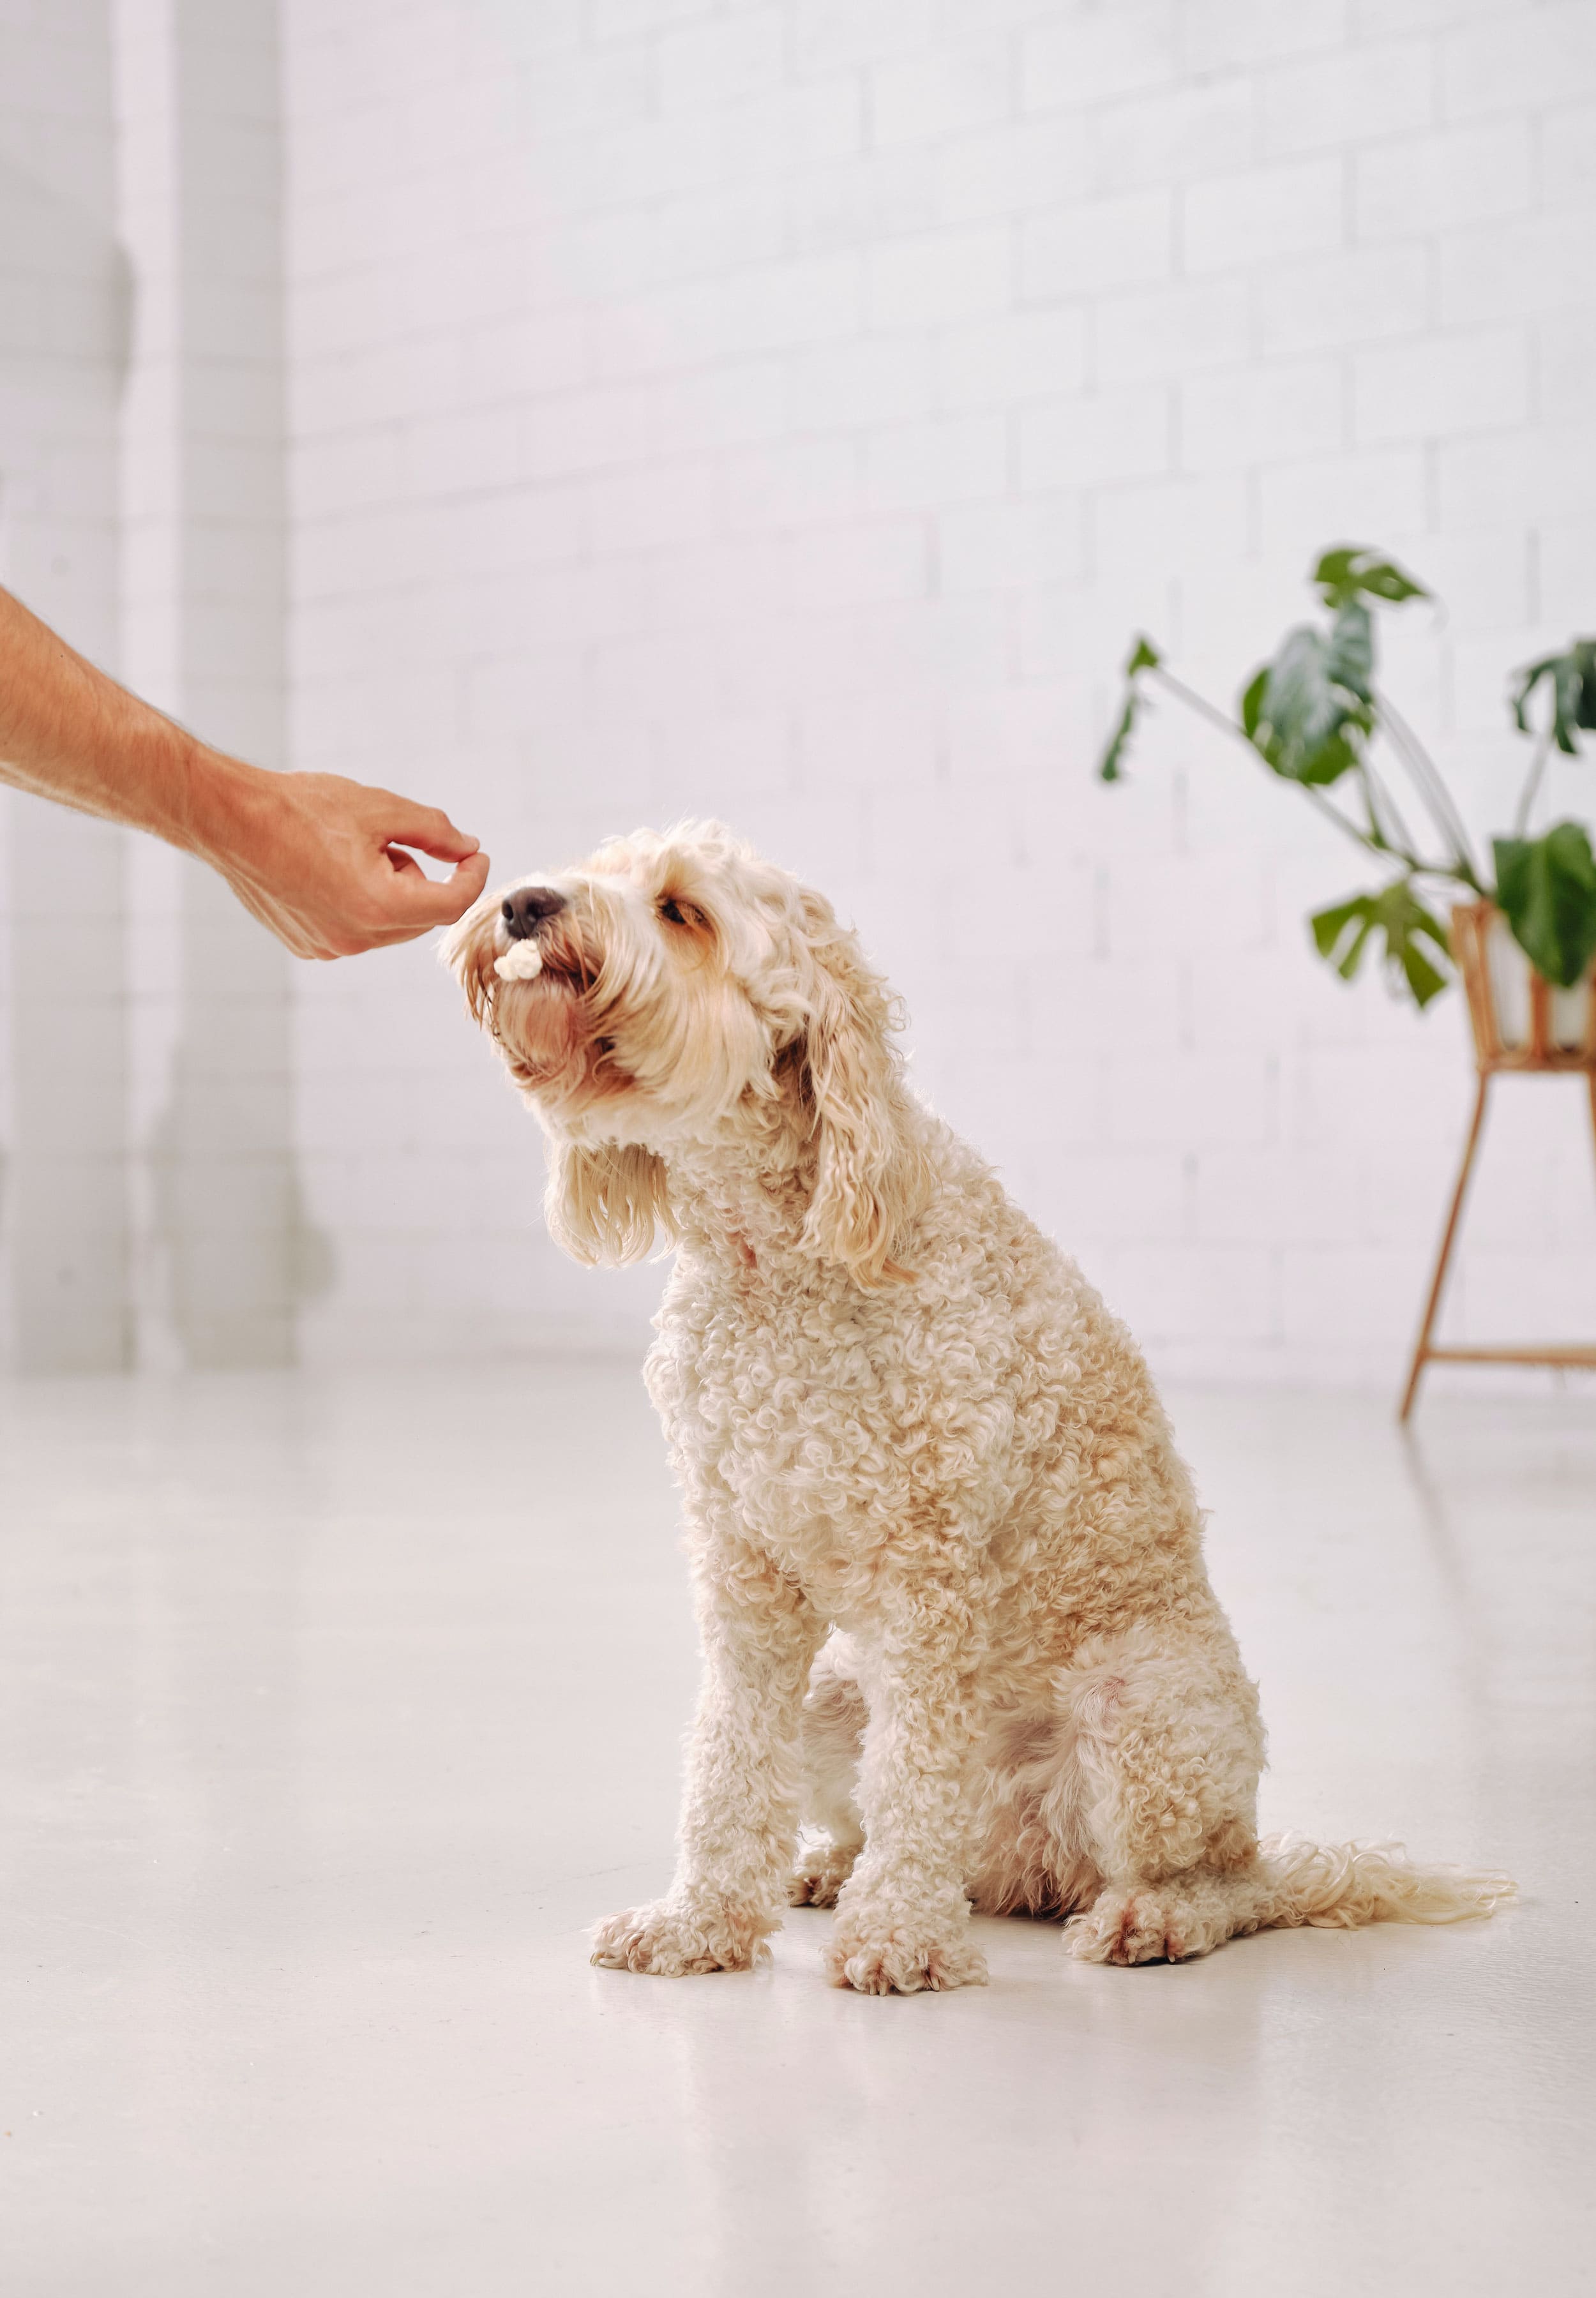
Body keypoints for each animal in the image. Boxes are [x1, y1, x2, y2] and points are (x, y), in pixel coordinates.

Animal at [446, 827, 1509, 1994]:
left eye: (683, 911)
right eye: (592, 870)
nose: (524, 903)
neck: (778, 1254)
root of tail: (1028, 1867)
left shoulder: (929, 1575)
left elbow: (916, 1773)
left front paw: (900, 1936)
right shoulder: (744, 1571)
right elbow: (727, 1763)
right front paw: (700, 1920)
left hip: (1146, 1718)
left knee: (1228, 1883)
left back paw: (1150, 1916)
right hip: (835, 1693)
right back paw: (834, 1869)